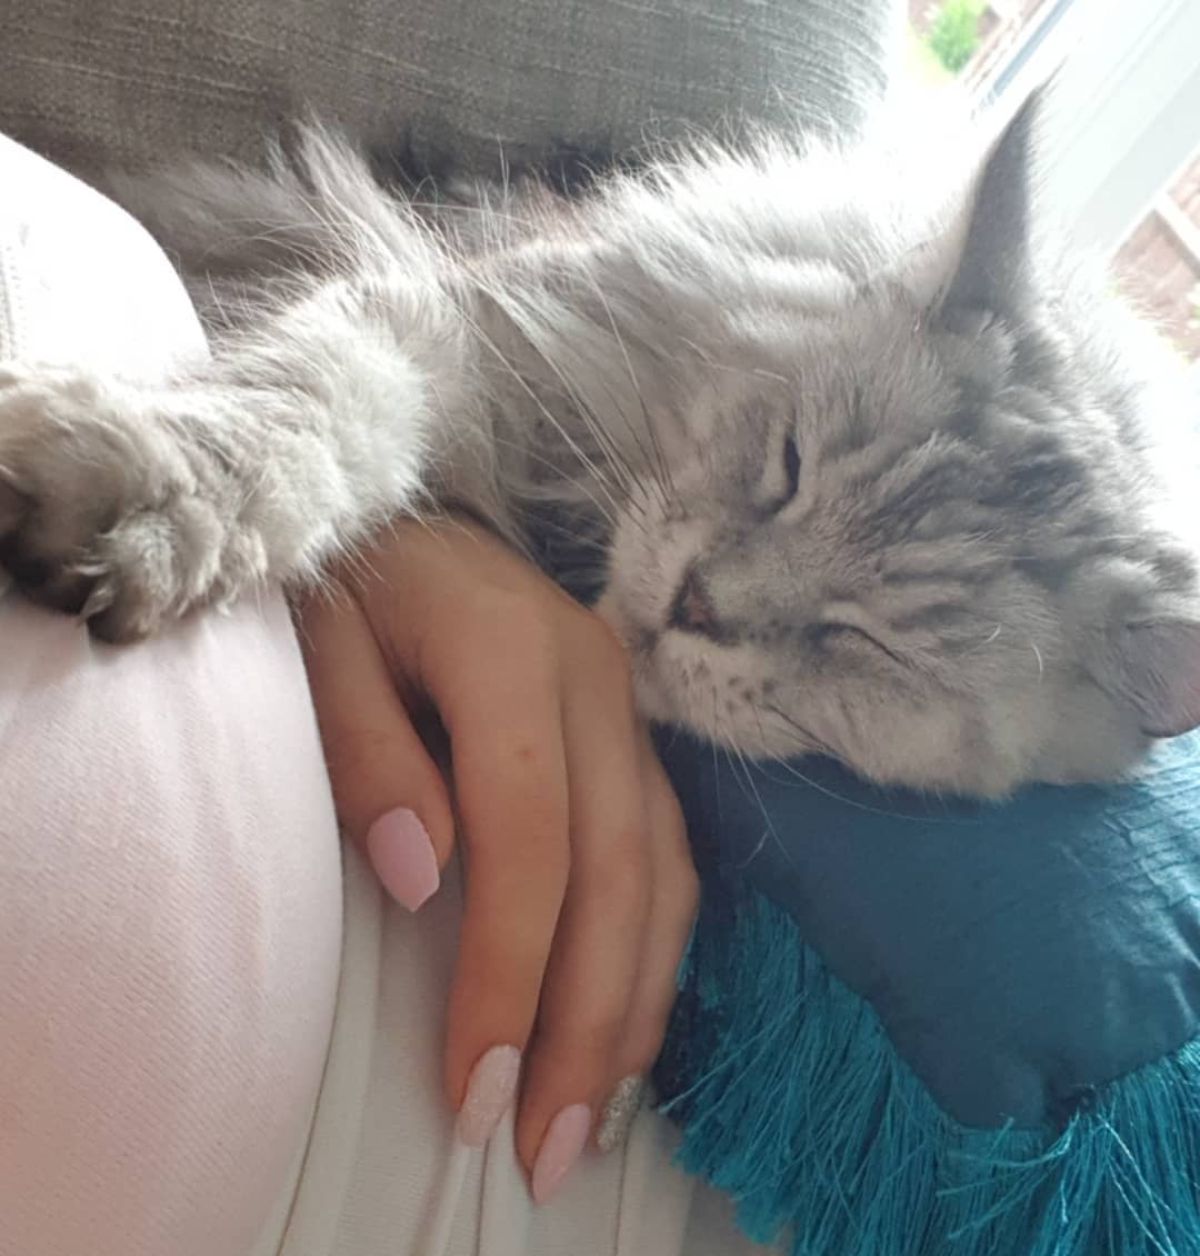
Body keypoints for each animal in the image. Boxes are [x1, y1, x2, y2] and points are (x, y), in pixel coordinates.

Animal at [2, 95, 1200, 793]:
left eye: (866, 643)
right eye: (790, 463)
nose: (699, 602)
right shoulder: (454, 322)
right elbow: (319, 415)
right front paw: (154, 493)